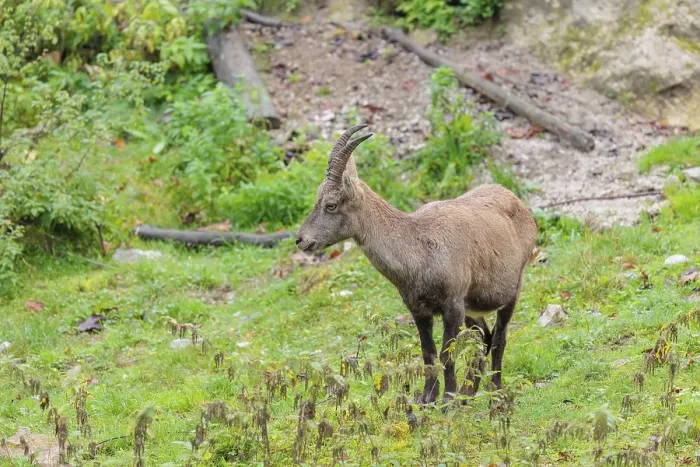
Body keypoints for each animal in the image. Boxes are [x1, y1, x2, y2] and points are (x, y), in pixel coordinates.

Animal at [296, 125, 537, 404]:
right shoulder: (418, 310)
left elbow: (446, 353)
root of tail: (519, 204)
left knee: (498, 338)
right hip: (473, 308)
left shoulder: (452, 305)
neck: (418, 246)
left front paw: (447, 399)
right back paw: (468, 393)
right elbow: (427, 353)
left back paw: (494, 389)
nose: (301, 240)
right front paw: (427, 398)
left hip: (512, 289)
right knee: (482, 338)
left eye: (331, 204)